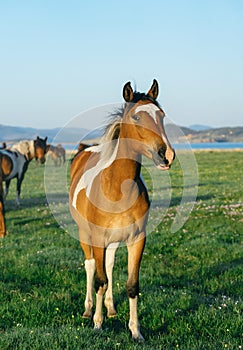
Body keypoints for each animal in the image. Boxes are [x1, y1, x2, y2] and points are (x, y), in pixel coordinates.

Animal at [69, 80, 176, 342]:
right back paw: (88, 309)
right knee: (91, 266)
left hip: (113, 241)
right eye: (136, 117)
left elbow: (131, 285)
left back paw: (110, 308)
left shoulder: (136, 240)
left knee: (107, 265)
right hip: (86, 234)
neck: (116, 188)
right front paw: (98, 324)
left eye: (161, 115)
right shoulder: (98, 238)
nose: (166, 155)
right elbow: (99, 280)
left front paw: (136, 331)